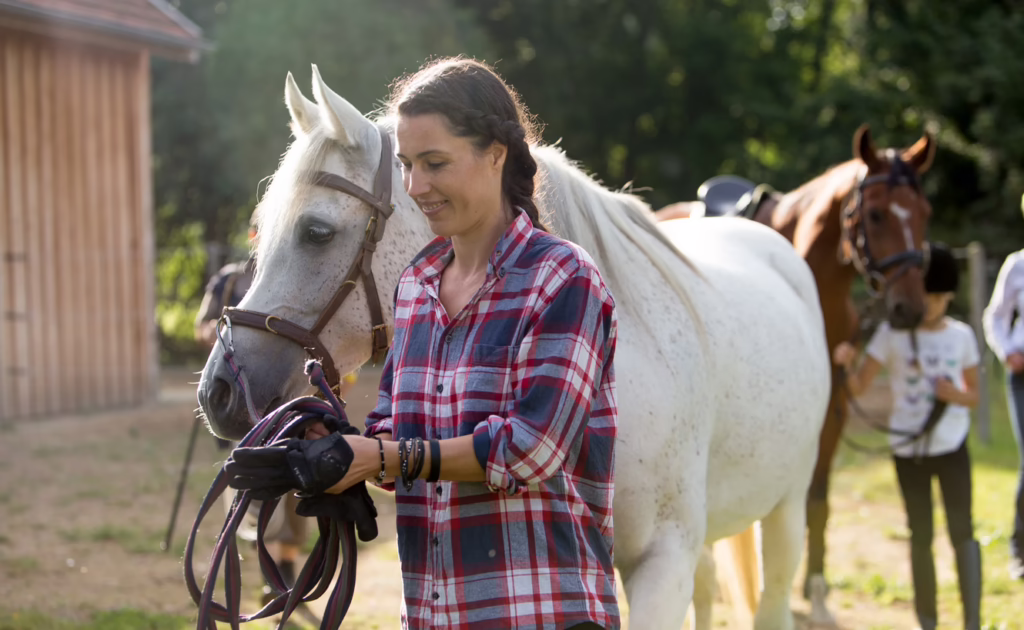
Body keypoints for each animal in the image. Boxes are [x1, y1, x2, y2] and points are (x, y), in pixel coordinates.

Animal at [656, 126, 937, 624]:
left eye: (925, 213)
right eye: (876, 214)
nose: (910, 308)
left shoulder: (833, 413)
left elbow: (818, 501)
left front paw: (818, 592)